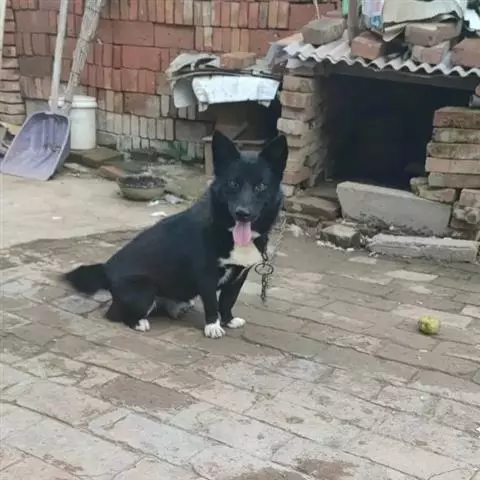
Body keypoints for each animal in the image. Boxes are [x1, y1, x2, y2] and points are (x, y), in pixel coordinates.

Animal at [63, 130, 288, 338]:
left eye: (260, 186)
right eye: (233, 184)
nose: (243, 213)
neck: (226, 228)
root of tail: (107, 270)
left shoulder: (239, 276)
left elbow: (227, 301)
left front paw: (228, 320)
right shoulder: (206, 275)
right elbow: (212, 303)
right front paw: (213, 326)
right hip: (144, 290)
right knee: (114, 314)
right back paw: (139, 322)